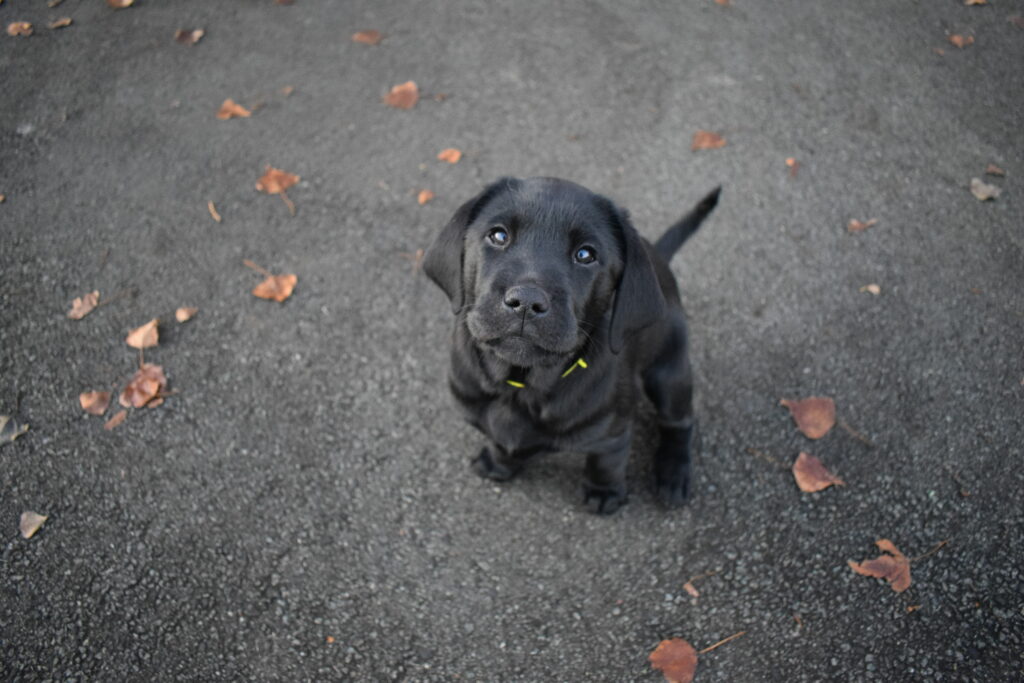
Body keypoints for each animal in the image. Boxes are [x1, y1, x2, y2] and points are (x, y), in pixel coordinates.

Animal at [423, 176, 720, 511]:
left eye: (585, 255)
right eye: (498, 236)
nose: (527, 302)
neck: (521, 387)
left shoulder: (614, 431)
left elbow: (607, 461)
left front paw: (604, 493)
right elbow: (500, 440)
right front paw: (498, 463)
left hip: (670, 373)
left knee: (679, 422)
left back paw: (673, 474)